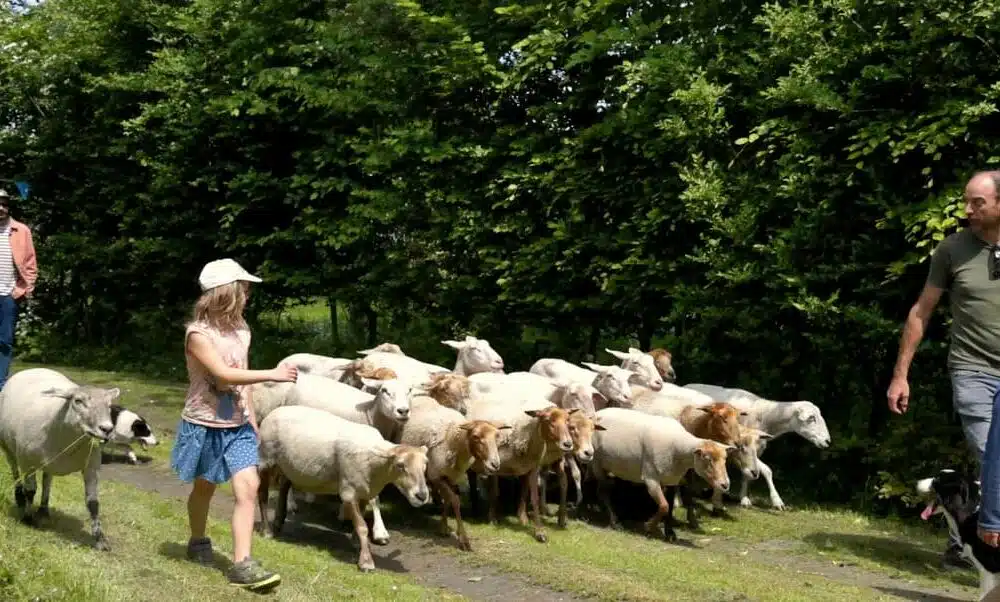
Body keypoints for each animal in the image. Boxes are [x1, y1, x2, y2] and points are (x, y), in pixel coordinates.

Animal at [0, 368, 119, 551]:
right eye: (78, 401)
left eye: (109, 405)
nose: (107, 429)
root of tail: (32, 369)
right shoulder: (28, 463)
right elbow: (30, 491)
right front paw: (28, 519)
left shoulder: (92, 466)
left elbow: (93, 503)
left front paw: (100, 539)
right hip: (8, 447)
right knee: (14, 471)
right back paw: (19, 497)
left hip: (48, 462)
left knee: (47, 479)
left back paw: (43, 509)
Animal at [256, 405, 430, 572]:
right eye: (400, 465)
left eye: (425, 464)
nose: (422, 496)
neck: (376, 465)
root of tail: (275, 411)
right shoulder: (349, 493)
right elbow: (362, 527)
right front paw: (366, 561)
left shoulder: (364, 491)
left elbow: (360, 523)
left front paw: (358, 544)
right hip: (266, 458)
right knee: (263, 494)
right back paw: (267, 531)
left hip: (288, 465)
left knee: (284, 486)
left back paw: (278, 522)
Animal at [397, 395, 511, 551]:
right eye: (476, 437)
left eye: (497, 436)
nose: (495, 464)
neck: (453, 440)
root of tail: (421, 396)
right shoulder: (436, 476)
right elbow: (455, 500)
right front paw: (464, 540)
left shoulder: (451, 477)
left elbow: (448, 500)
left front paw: (444, 528)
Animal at [589, 407, 733, 542]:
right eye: (707, 459)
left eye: (725, 459)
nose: (725, 485)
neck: (678, 449)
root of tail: (598, 413)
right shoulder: (651, 478)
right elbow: (664, 506)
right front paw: (649, 526)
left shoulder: (671, 480)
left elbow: (669, 509)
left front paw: (670, 533)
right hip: (597, 464)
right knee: (603, 492)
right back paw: (614, 521)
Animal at [683, 383, 831, 510]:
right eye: (811, 418)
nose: (828, 441)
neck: (765, 416)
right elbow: (766, 470)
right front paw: (777, 501)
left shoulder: (755, 451)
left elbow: (749, 473)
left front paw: (744, 498)